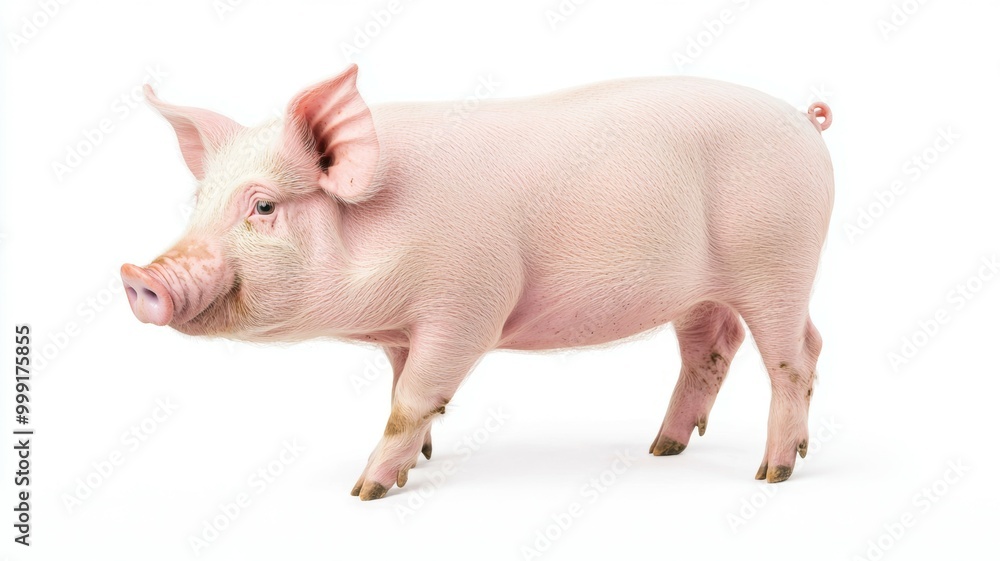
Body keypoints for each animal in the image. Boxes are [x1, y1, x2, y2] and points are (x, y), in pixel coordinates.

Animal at [121, 65, 834, 501]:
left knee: (796, 355)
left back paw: (772, 473)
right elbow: (398, 389)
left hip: (780, 259)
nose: (137, 276)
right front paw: (424, 461)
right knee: (713, 349)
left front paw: (366, 490)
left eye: (264, 206)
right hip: (704, 288)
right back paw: (662, 449)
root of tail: (805, 120)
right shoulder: (402, 328)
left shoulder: (468, 306)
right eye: (199, 201)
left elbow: (413, 397)